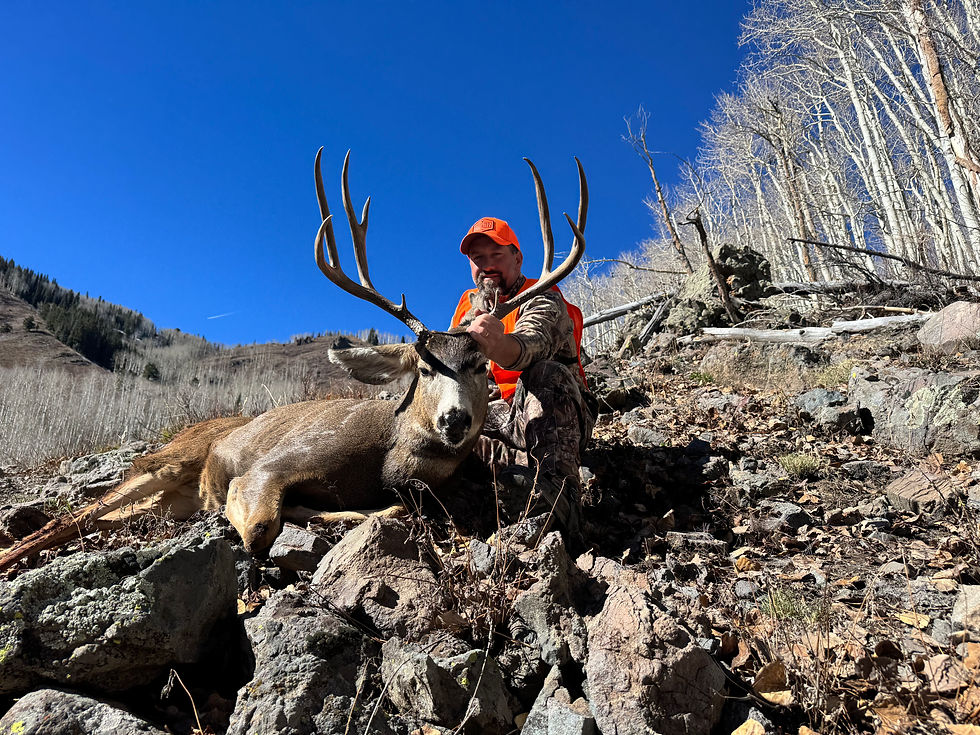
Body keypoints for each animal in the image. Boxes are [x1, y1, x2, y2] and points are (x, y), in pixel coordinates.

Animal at [0, 148, 587, 568]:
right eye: (423, 368)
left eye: (481, 365)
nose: (455, 420)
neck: (388, 458)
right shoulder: (270, 465)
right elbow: (261, 526)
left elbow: (378, 507)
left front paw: (331, 514)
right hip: (159, 464)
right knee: (65, 521)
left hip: (162, 498)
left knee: (95, 523)